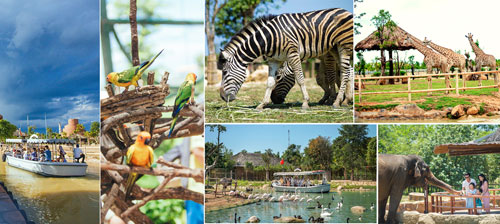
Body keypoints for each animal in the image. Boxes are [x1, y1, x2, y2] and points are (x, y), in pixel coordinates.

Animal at [217, 8, 354, 110]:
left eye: (225, 72)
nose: (222, 97)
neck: (269, 38)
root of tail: (345, 11)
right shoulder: (274, 60)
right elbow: (269, 83)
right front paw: (262, 104)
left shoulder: (294, 54)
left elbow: (301, 79)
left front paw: (306, 102)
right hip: (336, 48)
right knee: (347, 71)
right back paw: (343, 100)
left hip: (344, 47)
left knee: (345, 72)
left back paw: (337, 102)